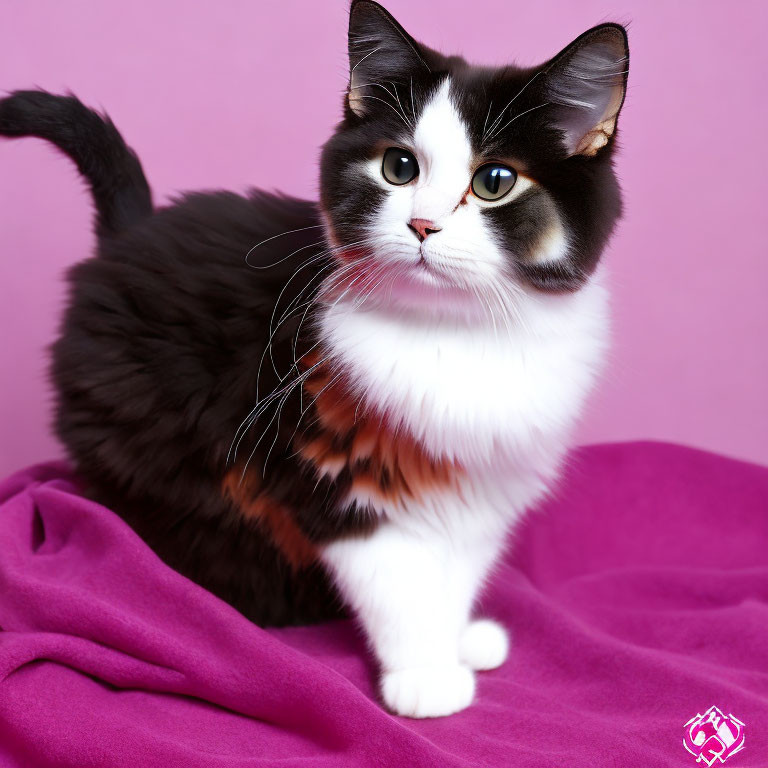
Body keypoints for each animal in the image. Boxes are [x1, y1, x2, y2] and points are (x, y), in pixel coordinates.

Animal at [0, 3, 632, 716]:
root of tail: (130, 234)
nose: (422, 225)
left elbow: (459, 564)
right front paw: (424, 674)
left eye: (495, 181)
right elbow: (396, 579)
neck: (460, 332)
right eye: (398, 167)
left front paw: (456, 637)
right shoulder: (327, 458)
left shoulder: (486, 475)